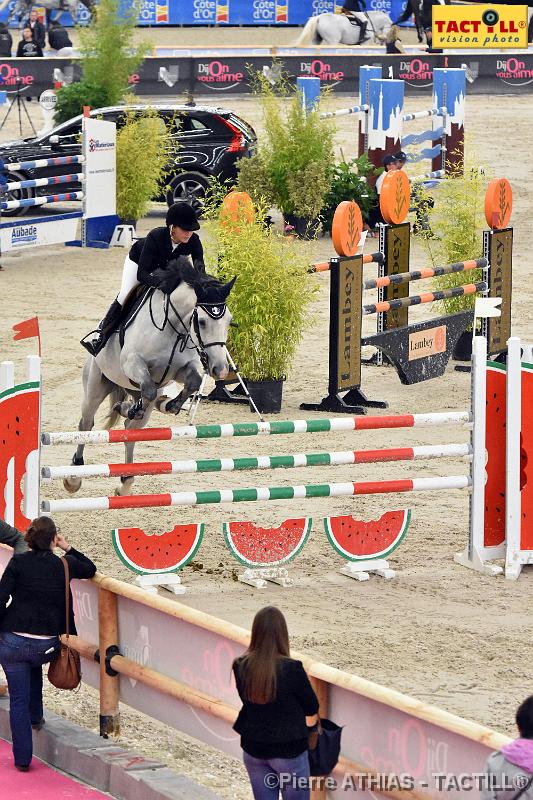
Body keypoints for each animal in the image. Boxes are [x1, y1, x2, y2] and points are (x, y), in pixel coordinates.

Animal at [64, 262, 235, 496]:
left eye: (229, 321)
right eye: (201, 321)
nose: (221, 370)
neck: (175, 328)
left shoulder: (180, 370)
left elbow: (193, 382)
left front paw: (171, 405)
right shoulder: (133, 363)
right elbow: (150, 388)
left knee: (131, 428)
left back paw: (126, 481)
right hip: (95, 386)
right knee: (86, 424)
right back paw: (74, 476)